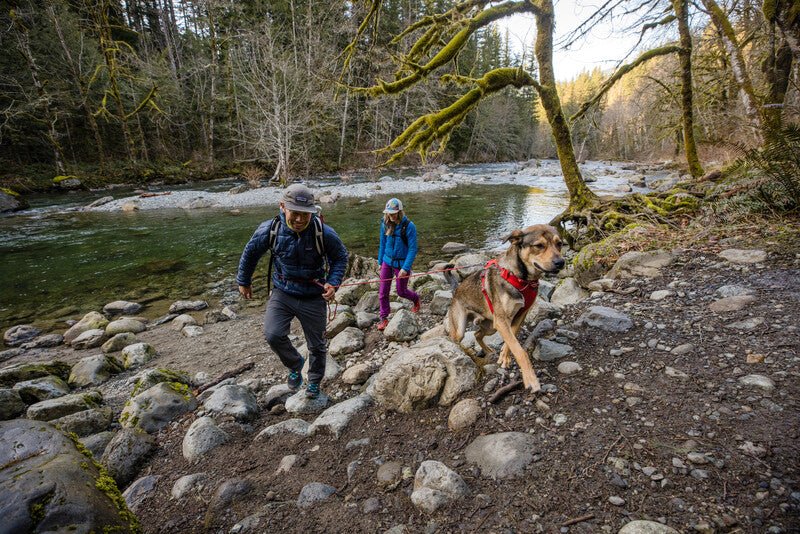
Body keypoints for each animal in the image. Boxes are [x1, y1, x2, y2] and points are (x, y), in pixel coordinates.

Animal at [444, 224, 564, 392]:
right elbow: (520, 351)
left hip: (490, 326)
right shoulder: (502, 321)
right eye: (539, 245)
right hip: (461, 329)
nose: (561, 262)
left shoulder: (518, 317)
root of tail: (456, 290)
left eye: (559, 243)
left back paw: (488, 350)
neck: (521, 279)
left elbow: (511, 341)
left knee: (477, 334)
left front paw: (504, 357)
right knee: (458, 338)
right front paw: (531, 379)